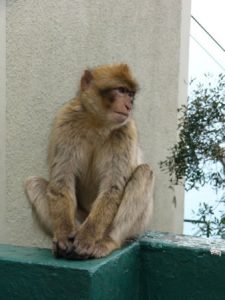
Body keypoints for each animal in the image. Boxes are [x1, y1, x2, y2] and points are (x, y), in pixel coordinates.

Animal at [24, 63, 155, 260]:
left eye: (130, 94)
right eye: (121, 90)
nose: (129, 105)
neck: (97, 123)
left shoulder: (126, 130)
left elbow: (113, 189)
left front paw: (86, 239)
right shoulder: (65, 120)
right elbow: (61, 181)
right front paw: (63, 236)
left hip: (135, 225)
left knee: (144, 172)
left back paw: (107, 241)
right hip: (81, 215)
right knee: (34, 184)